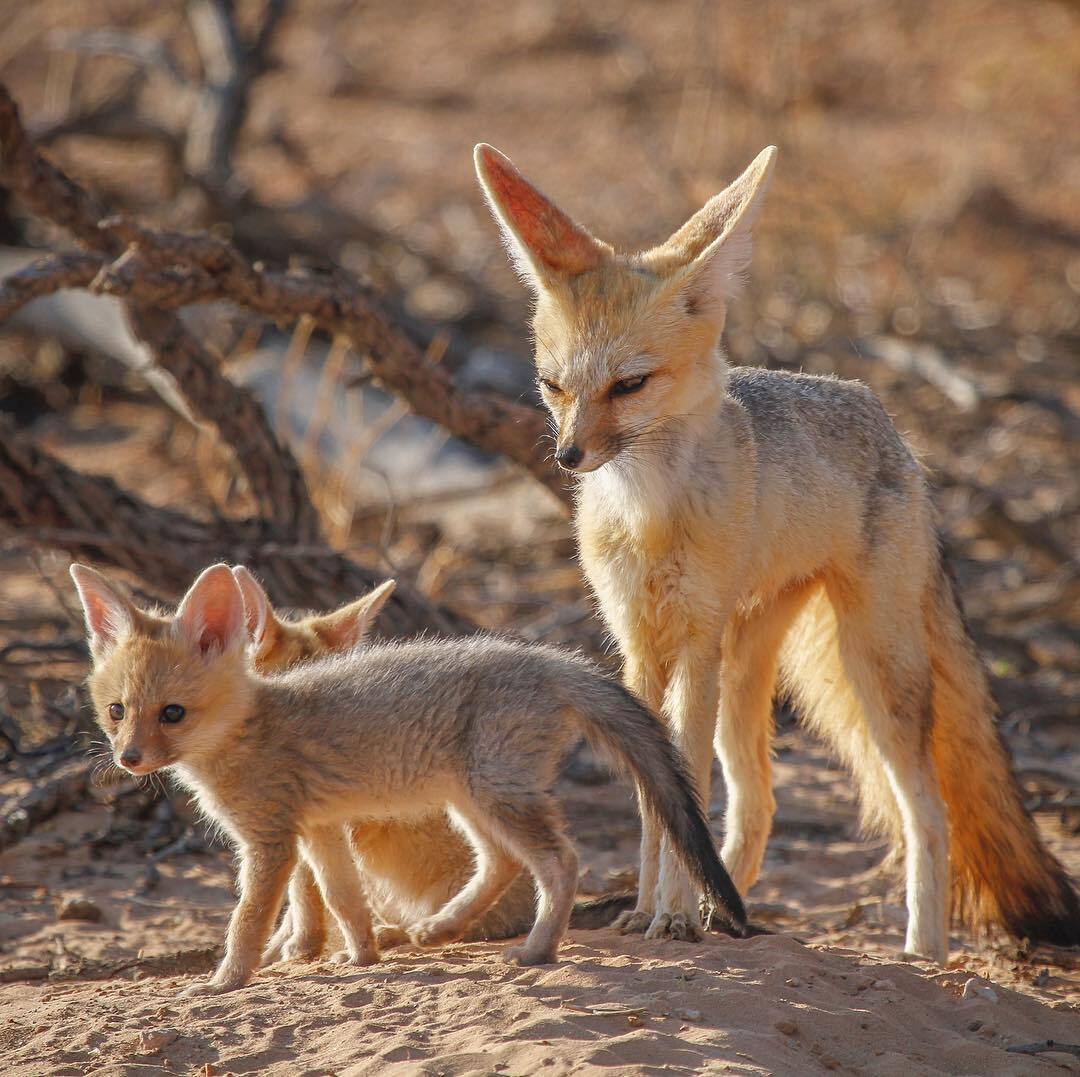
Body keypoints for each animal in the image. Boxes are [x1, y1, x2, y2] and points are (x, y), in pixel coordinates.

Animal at [67, 561, 743, 993]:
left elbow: (249, 922)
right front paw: (362, 958)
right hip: (471, 803)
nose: (129, 759)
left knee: (561, 863)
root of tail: (548, 657)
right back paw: (440, 926)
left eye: (172, 714)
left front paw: (225, 981)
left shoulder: (271, 842)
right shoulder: (320, 831)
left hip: (494, 798)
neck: (252, 725)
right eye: (117, 711)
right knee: (502, 864)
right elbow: (344, 900)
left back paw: (538, 949)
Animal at [473, 142, 1080, 959]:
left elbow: (685, 783)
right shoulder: (640, 646)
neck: (649, 517)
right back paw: (725, 909)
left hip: (868, 670)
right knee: (759, 804)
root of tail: (890, 424)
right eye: (553, 385)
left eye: (630, 385)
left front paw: (670, 915)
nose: (570, 456)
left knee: (926, 811)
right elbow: (656, 797)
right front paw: (652, 910)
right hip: (748, 674)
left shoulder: (694, 641)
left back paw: (922, 950)